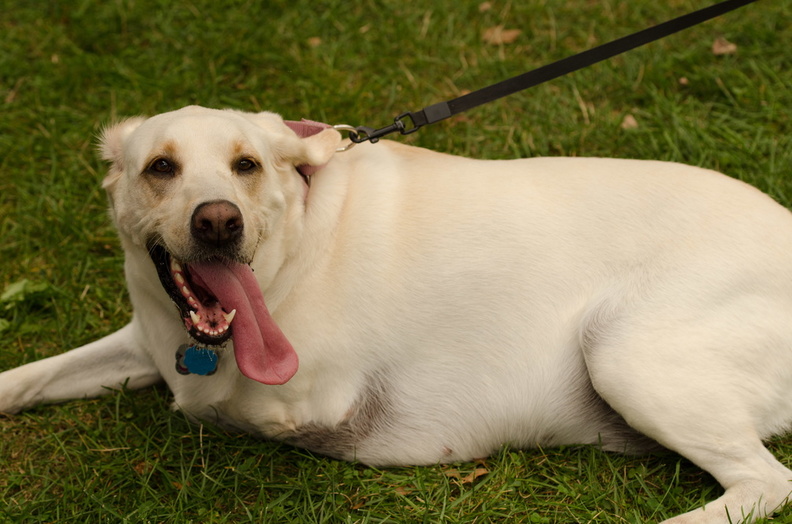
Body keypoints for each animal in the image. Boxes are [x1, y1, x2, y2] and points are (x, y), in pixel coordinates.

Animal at [1, 104, 792, 520]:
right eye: (159, 168)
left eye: (246, 165)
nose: (219, 223)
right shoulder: (147, 338)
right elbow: (32, 376)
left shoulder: (311, 396)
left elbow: (212, 403)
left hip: (622, 355)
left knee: (766, 485)